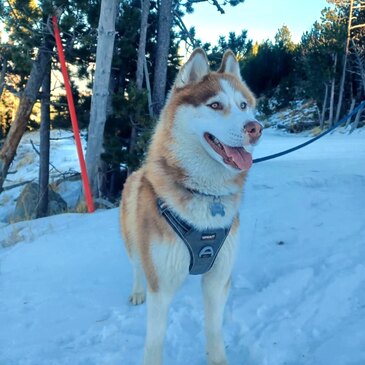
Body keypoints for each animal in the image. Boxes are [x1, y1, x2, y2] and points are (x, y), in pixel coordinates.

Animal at [120, 49, 262, 364]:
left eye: (244, 105)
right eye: (215, 105)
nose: (255, 128)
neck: (206, 196)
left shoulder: (217, 279)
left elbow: (214, 330)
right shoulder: (160, 285)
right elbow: (155, 342)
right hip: (134, 243)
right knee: (135, 267)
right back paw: (135, 292)